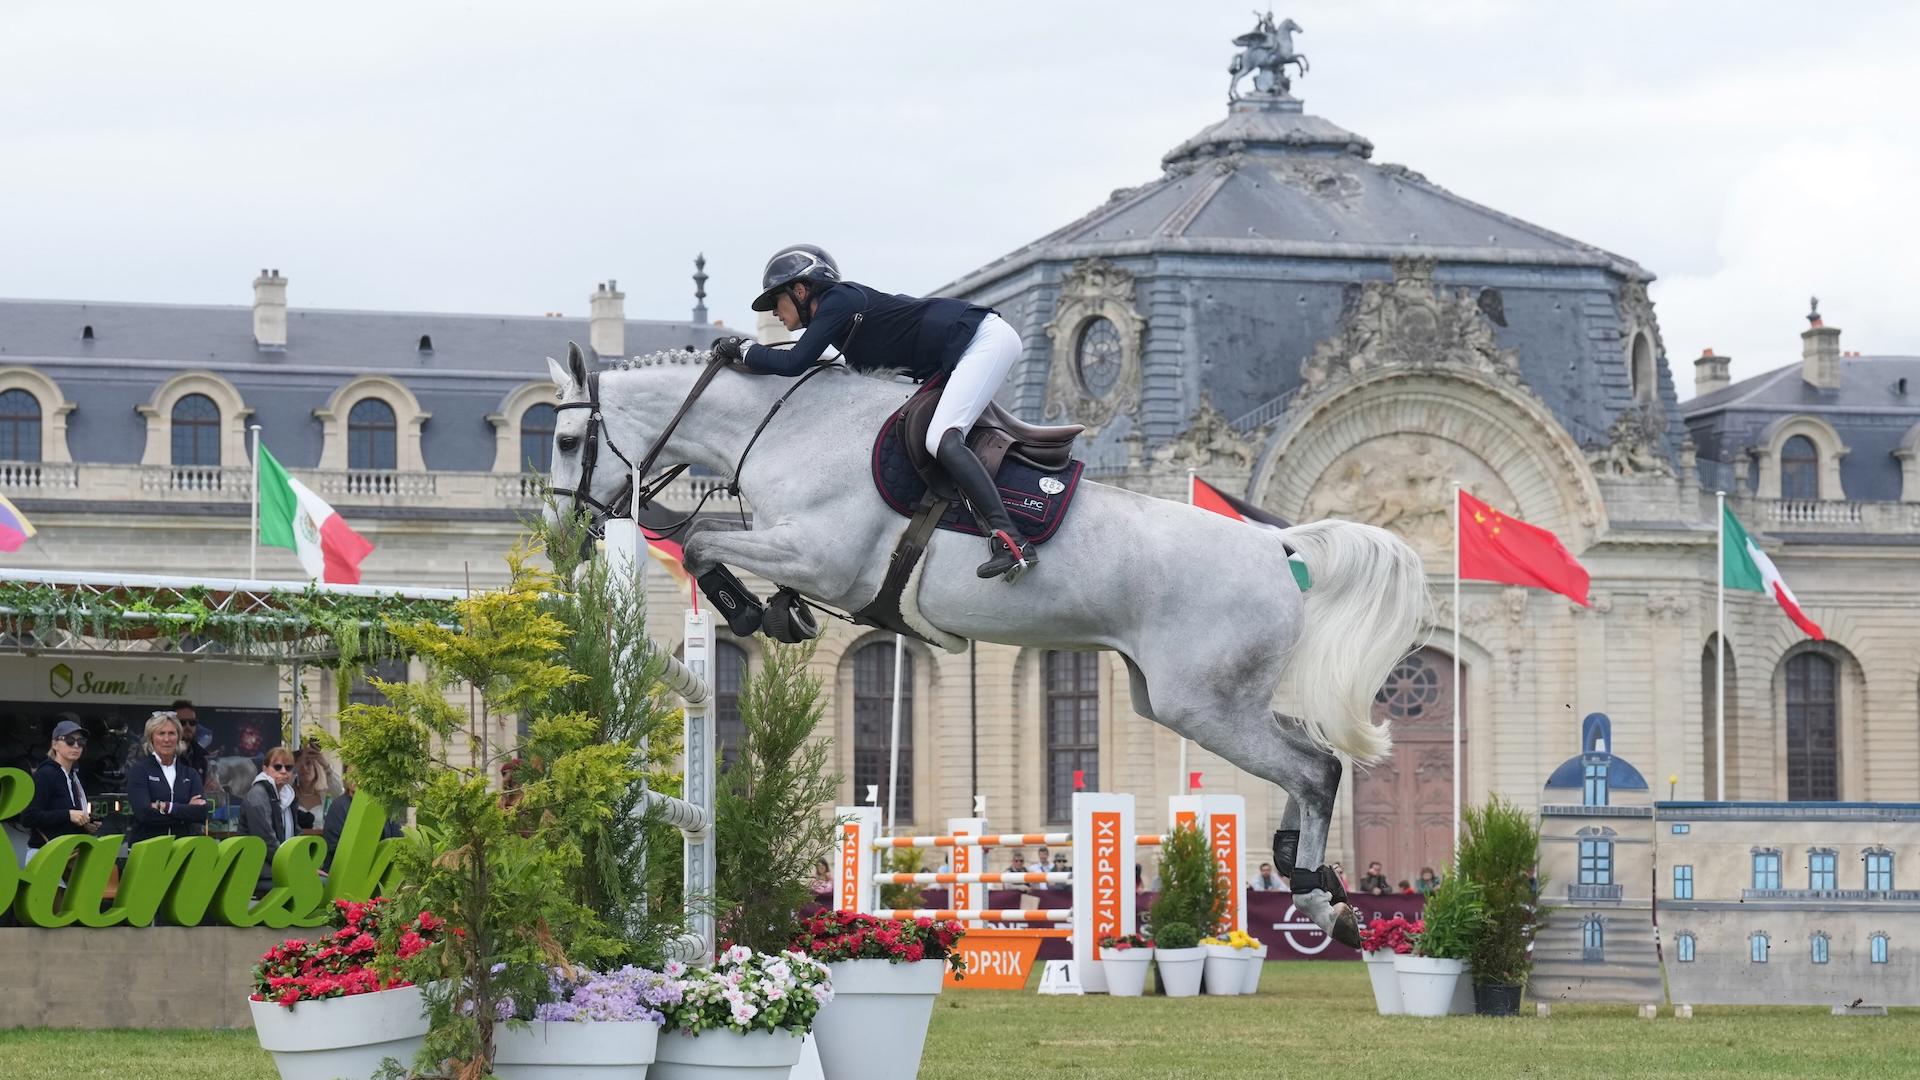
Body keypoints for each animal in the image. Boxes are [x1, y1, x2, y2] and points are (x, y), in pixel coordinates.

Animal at [541, 343, 1428, 941]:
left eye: (563, 442)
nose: (563, 537)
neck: (787, 428)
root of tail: (1278, 546)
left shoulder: (823, 555)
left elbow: (700, 544)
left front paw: (758, 609)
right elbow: (712, 546)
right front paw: (777, 613)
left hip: (1202, 704)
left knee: (1315, 768)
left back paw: (1313, 892)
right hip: (1188, 698)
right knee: (1308, 759)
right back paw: (1317, 883)